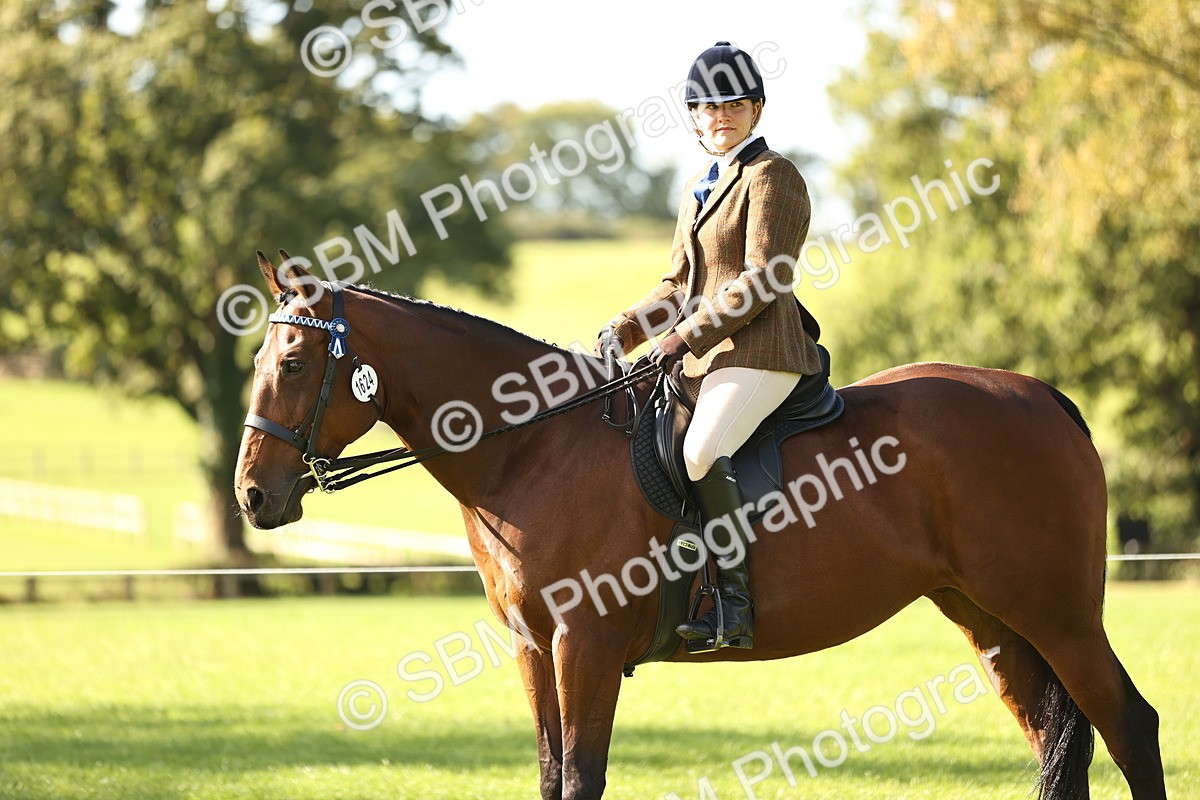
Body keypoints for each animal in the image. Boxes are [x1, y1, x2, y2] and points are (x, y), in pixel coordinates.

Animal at [234, 251, 1167, 800]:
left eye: (293, 362)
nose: (252, 496)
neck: (532, 449)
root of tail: (1041, 397)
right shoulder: (535, 648)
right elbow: (549, 776)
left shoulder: (585, 646)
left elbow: (581, 778)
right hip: (992, 620)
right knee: (1055, 736)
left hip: (1058, 615)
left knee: (1131, 726)